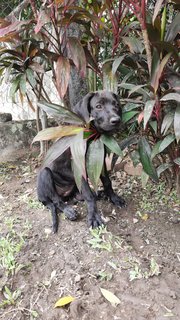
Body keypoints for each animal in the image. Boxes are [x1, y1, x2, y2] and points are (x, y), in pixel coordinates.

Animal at [37, 90, 126, 232]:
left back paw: (99, 194)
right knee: (56, 200)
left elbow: (107, 182)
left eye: (116, 104)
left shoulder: (99, 161)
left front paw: (114, 198)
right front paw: (94, 217)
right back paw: (68, 210)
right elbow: (88, 195)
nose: (116, 120)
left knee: (80, 195)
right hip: (45, 174)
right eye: (98, 106)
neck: (92, 134)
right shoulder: (80, 166)